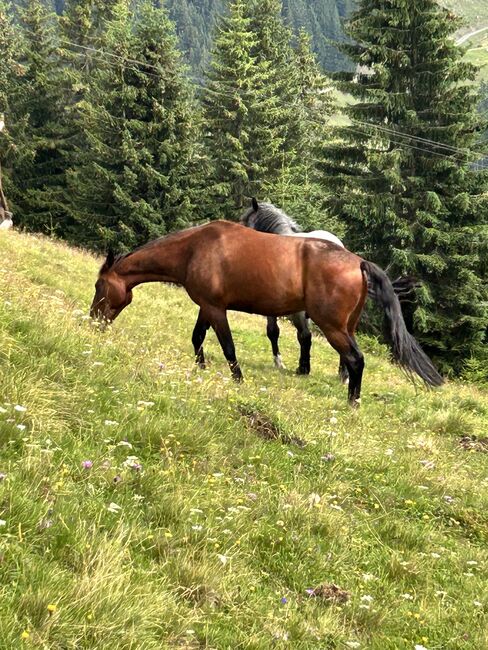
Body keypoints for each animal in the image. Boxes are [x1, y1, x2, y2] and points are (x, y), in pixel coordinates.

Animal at [89, 221, 444, 404]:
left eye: (98, 285)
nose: (93, 320)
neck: (194, 249)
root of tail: (358, 262)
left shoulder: (216, 308)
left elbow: (228, 347)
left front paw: (238, 380)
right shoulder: (207, 306)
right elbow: (197, 337)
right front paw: (200, 368)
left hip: (332, 327)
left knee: (356, 360)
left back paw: (352, 402)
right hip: (347, 327)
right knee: (349, 361)